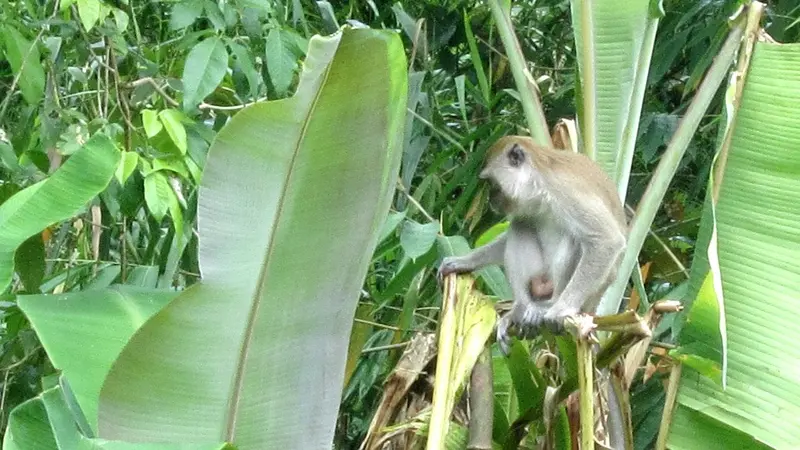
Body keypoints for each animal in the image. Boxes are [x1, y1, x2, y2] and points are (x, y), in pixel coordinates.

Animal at [438, 135, 624, 354]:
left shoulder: (566, 190)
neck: (539, 183)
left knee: (575, 239)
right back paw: (520, 309)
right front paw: (464, 261)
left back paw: (549, 306)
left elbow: (607, 240)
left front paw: (561, 309)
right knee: (521, 225)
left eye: (491, 182)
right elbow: (515, 229)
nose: (491, 198)